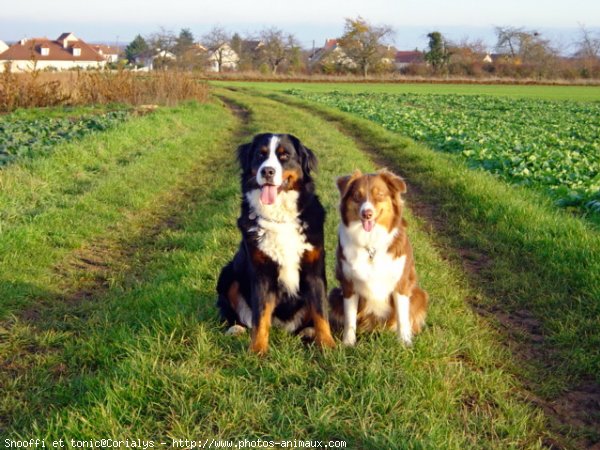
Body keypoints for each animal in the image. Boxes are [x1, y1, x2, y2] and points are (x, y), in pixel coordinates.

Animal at [217, 134, 338, 356]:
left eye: (284, 156)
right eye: (260, 155)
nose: (267, 171)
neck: (280, 217)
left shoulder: (314, 272)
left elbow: (320, 312)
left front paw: (327, 344)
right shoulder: (261, 273)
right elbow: (260, 316)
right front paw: (257, 349)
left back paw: (308, 332)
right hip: (228, 274)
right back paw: (236, 328)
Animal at [328, 171, 426, 346]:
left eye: (379, 195)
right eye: (356, 196)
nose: (367, 214)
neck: (370, 243)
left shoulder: (401, 283)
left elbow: (402, 317)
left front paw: (405, 343)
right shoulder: (348, 284)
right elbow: (350, 318)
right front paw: (348, 343)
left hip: (419, 294)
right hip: (334, 295)